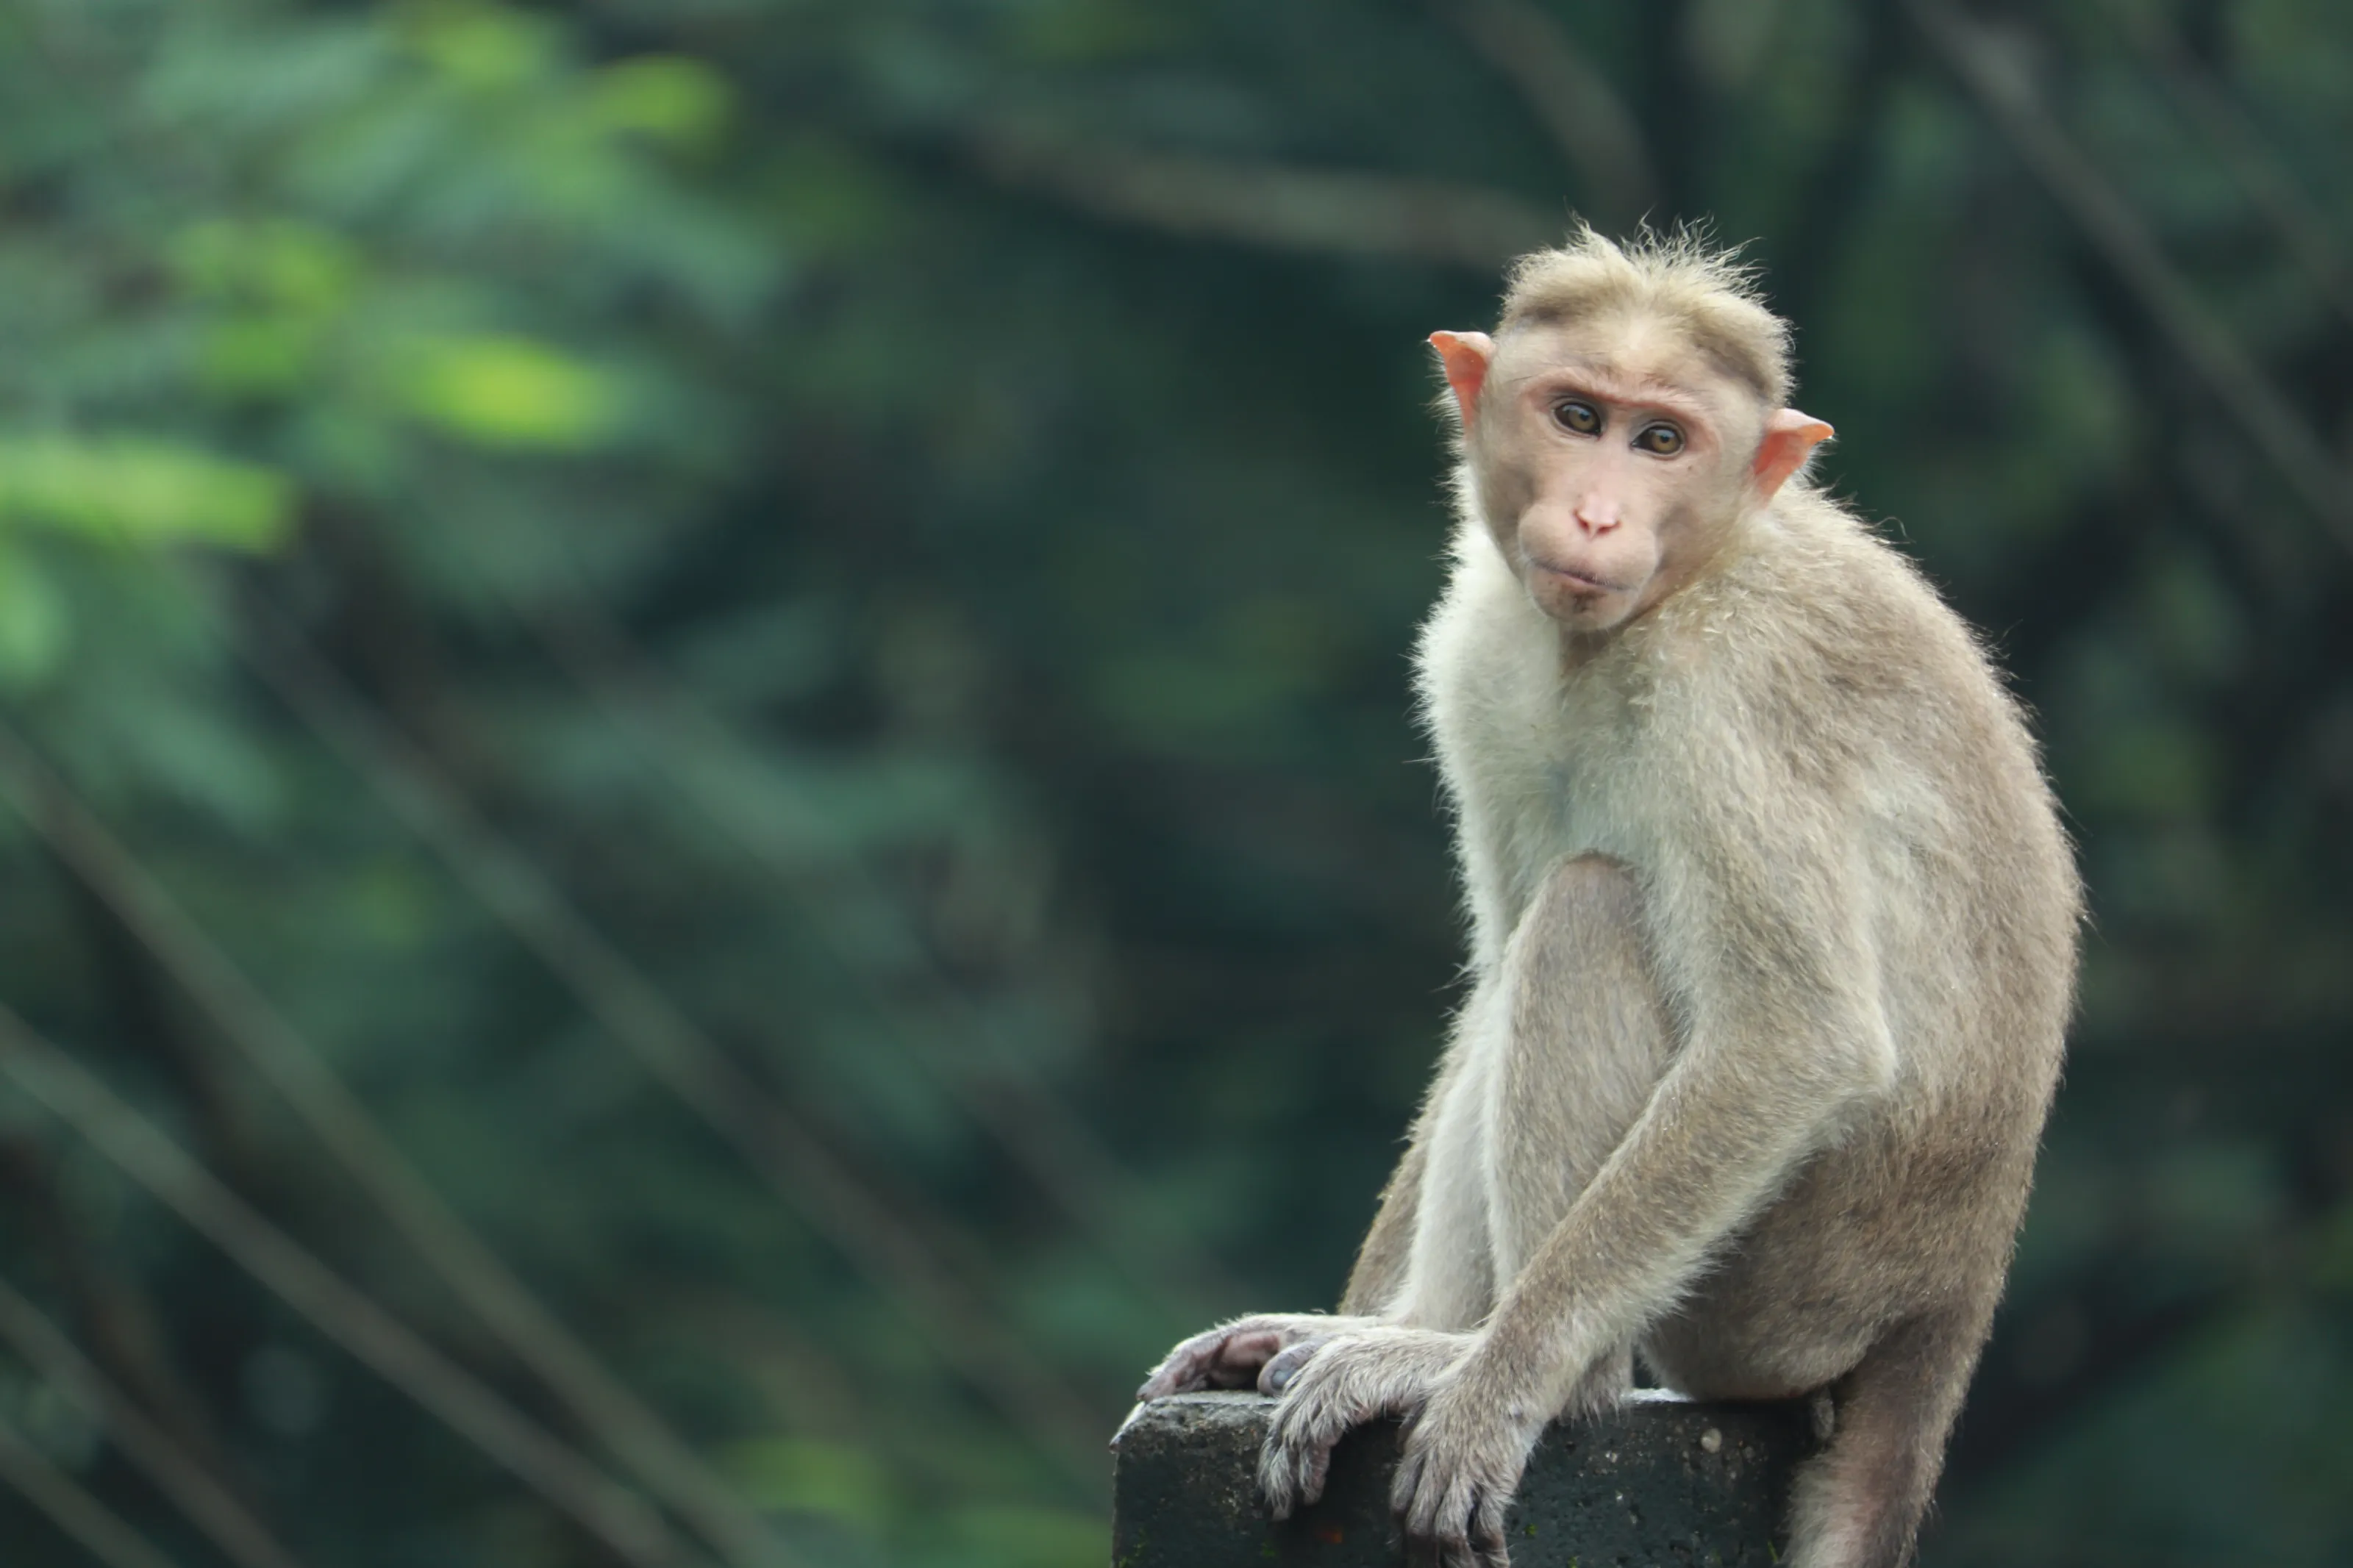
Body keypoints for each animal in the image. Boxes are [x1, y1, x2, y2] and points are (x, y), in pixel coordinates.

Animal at [1133, 227, 2081, 1568]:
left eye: (1662, 441)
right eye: (1579, 415)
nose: (1596, 510)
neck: (1678, 586)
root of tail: (1951, 1295)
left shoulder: (1731, 689)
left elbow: (1800, 1035)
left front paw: (1496, 1383)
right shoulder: (1478, 649)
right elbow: (1492, 967)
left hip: (1772, 1300)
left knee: (1591, 911)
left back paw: (1500, 1365)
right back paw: (1414, 1327)